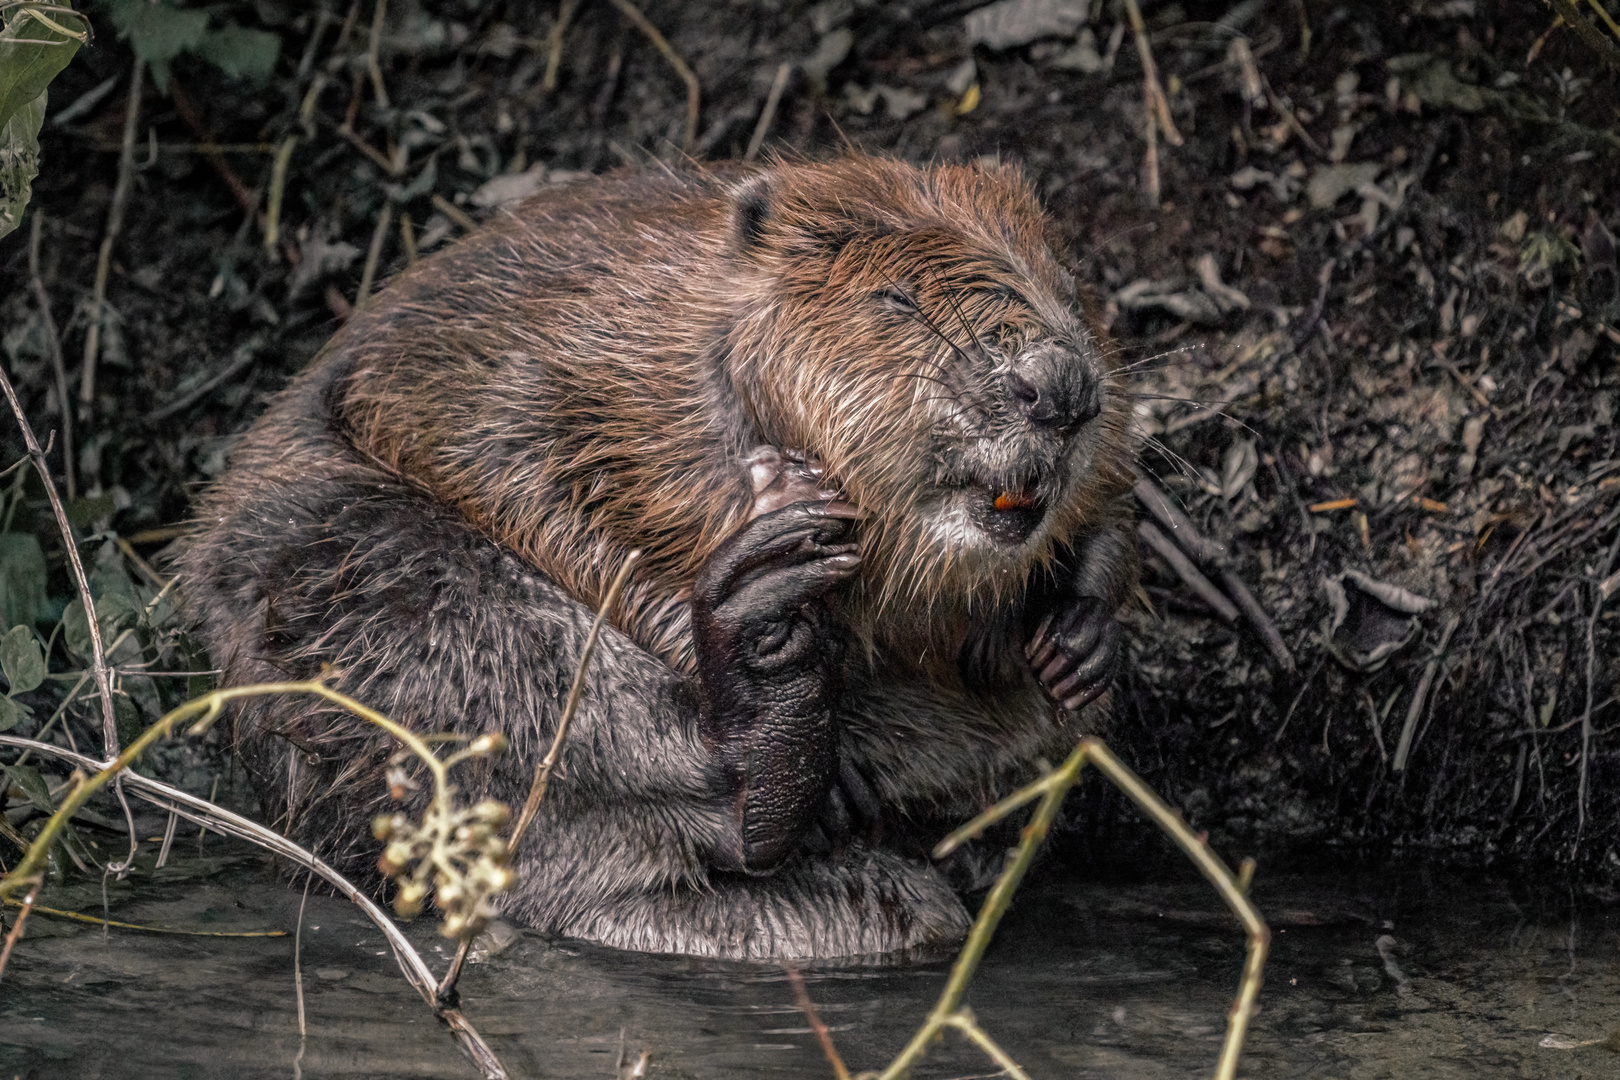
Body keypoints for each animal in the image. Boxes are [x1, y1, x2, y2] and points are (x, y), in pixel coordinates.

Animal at [180, 156, 1140, 958]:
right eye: (896, 301)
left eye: (1069, 288)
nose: (1060, 387)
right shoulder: (557, 359)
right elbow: (530, 492)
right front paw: (768, 583)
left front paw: (1079, 629)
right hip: (349, 561)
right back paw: (768, 671)